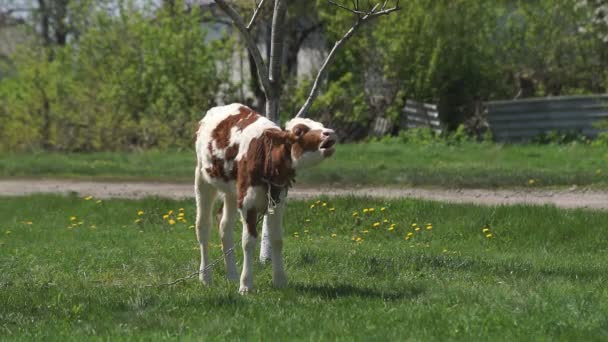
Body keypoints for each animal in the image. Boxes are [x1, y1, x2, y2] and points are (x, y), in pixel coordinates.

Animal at [195, 103, 338, 292]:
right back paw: (205, 277)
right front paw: (246, 285)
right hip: (203, 179)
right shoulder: (248, 203)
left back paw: (232, 275)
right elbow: (248, 241)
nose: (330, 132)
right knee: (203, 226)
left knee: (224, 225)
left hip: (233, 191)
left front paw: (280, 280)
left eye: (320, 124)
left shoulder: (277, 201)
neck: (267, 160)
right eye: (299, 131)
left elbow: (276, 239)